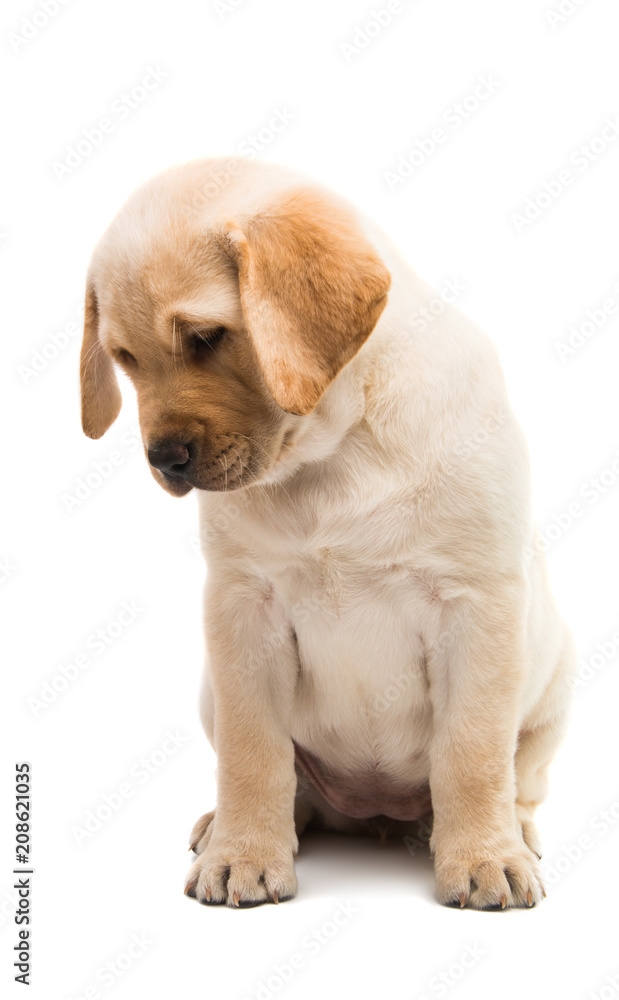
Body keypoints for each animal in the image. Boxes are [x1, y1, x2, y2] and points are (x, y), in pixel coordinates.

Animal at [80, 154, 572, 908]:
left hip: (555, 689)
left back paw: (515, 833)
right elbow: (253, 754)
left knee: (519, 780)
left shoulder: (476, 607)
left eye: (205, 338)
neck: (333, 453)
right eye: (126, 359)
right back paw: (223, 825)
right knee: (288, 783)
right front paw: (244, 854)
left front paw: (485, 858)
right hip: (211, 694)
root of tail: (374, 811)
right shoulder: (242, 610)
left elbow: (472, 753)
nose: (164, 459)